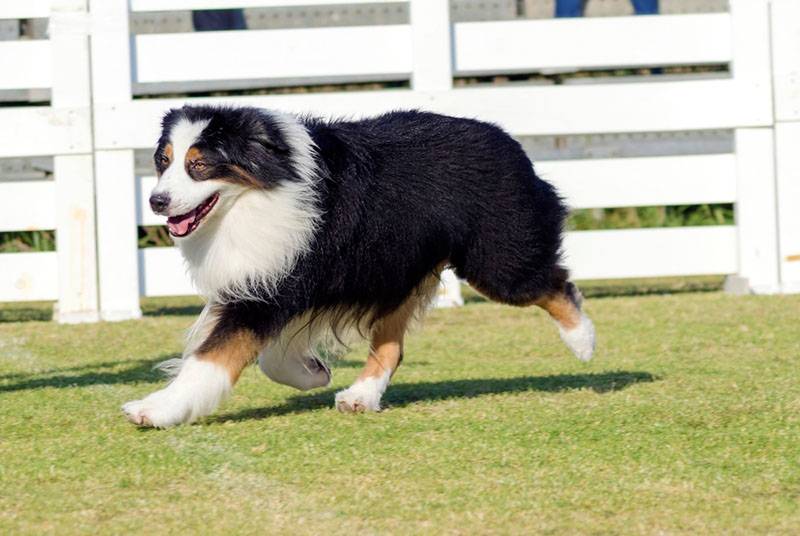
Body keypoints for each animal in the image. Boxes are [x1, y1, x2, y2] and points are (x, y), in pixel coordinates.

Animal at [120, 107, 592, 430]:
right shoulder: (263, 279)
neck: (259, 192)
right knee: (391, 345)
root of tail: (506, 139)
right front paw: (313, 373)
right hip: (399, 268)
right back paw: (361, 396)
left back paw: (583, 340)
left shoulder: (276, 284)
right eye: (163, 161)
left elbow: (212, 357)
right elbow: (264, 355)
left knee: (553, 283)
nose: (156, 202)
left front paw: (155, 409)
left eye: (198, 165)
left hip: (496, 261)